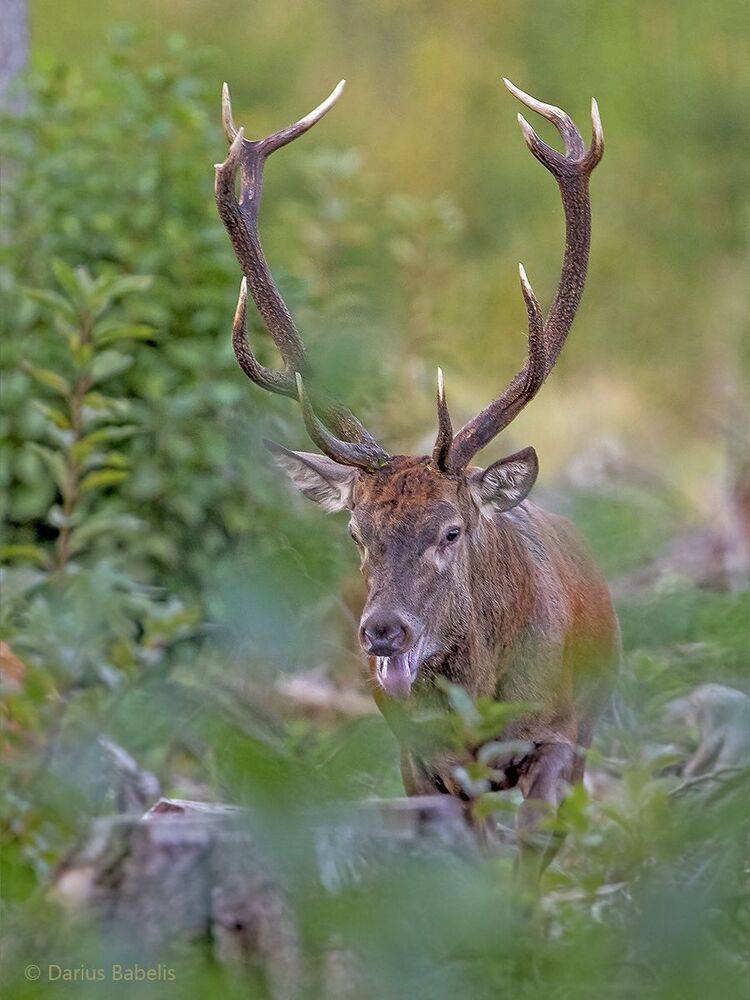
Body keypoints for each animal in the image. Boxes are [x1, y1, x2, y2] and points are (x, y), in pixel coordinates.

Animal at [214, 77, 620, 874]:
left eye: (452, 531)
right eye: (355, 532)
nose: (383, 632)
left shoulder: (558, 733)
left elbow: (532, 846)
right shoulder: (420, 764)